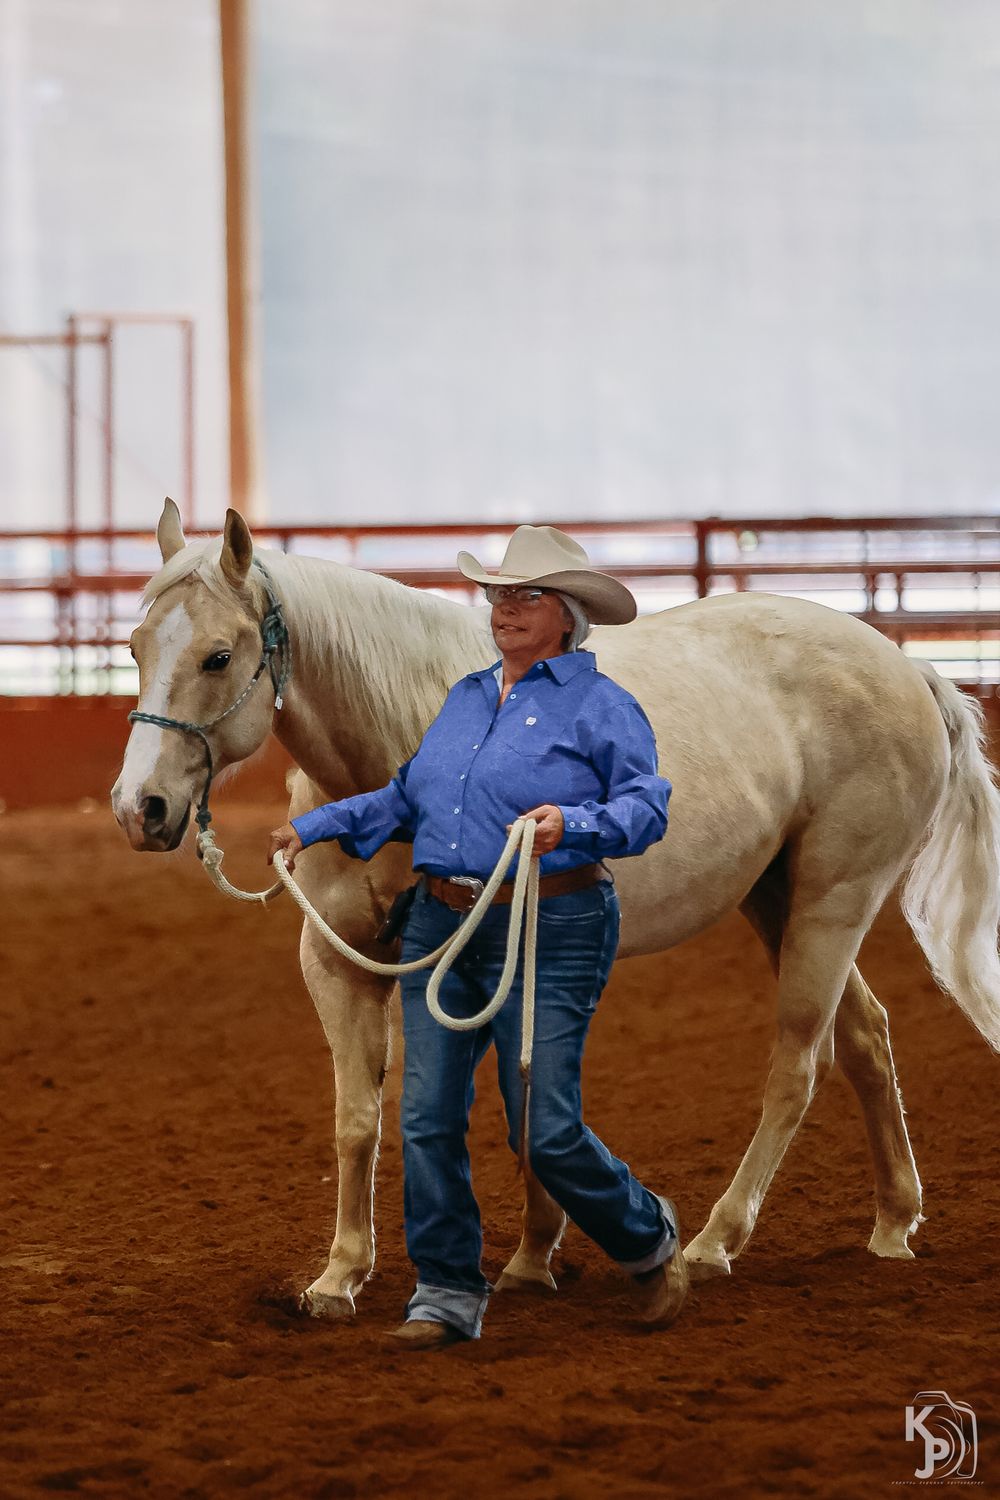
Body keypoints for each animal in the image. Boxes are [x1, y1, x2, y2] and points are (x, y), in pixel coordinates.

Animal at [112, 500, 1000, 1317]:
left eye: (219, 656)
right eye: (134, 647)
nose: (138, 808)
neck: (403, 736)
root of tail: (910, 671)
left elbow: (525, 1096)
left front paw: (533, 1254)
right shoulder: (338, 962)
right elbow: (361, 1117)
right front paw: (341, 1276)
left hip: (831, 902)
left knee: (799, 1065)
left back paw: (715, 1241)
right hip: (777, 902)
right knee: (867, 1040)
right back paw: (894, 1223)